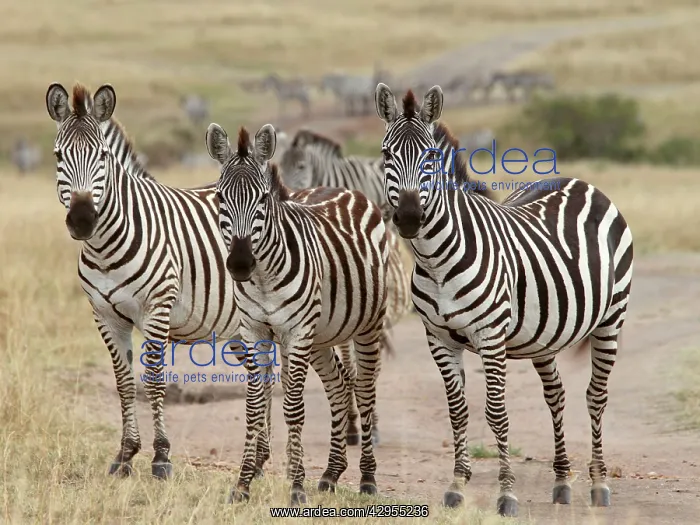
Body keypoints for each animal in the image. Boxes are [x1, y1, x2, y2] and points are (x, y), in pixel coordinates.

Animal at [43, 82, 279, 481]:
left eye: (102, 156)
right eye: (59, 156)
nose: (82, 220)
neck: (105, 246)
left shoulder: (157, 308)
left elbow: (153, 379)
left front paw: (161, 456)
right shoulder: (104, 315)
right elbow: (124, 382)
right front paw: (125, 455)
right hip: (241, 328)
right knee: (260, 376)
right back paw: (260, 459)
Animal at [206, 122, 388, 506]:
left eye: (262, 199)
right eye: (220, 199)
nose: (240, 264)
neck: (262, 278)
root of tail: (343, 189)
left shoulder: (297, 333)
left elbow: (293, 407)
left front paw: (297, 488)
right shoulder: (255, 331)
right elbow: (254, 406)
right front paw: (243, 484)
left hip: (367, 325)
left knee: (364, 389)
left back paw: (367, 479)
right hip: (321, 335)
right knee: (339, 385)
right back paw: (332, 473)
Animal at [374, 83, 633, 517]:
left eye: (430, 157)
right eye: (385, 155)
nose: (409, 217)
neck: (435, 259)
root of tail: (580, 182)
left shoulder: (490, 335)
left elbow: (496, 413)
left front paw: (506, 494)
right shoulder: (437, 338)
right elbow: (458, 412)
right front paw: (457, 486)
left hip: (611, 318)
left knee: (596, 396)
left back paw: (599, 484)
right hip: (545, 334)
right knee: (556, 395)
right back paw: (562, 482)